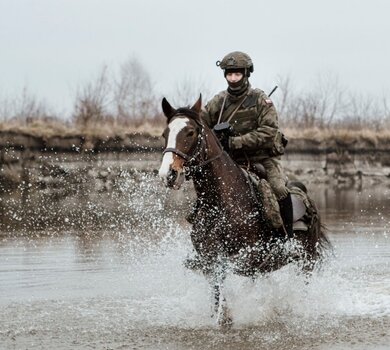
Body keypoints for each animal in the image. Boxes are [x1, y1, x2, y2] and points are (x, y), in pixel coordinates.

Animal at [157, 95, 330, 326]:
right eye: (165, 134)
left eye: (190, 132)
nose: (168, 174)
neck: (221, 202)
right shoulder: (209, 256)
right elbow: (216, 287)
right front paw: (223, 317)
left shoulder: (247, 258)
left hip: (307, 259)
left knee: (302, 286)